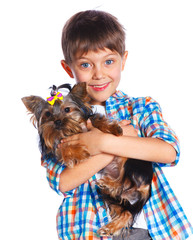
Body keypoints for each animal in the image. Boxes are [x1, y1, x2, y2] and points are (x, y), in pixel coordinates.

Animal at [21, 82, 153, 236]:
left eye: (67, 109)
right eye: (47, 114)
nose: (57, 121)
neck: (70, 130)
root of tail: (147, 188)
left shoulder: (89, 119)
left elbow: (97, 120)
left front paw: (114, 129)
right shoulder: (57, 147)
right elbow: (63, 149)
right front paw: (81, 152)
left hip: (130, 162)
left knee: (126, 181)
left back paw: (109, 184)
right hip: (114, 196)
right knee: (125, 209)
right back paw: (109, 222)